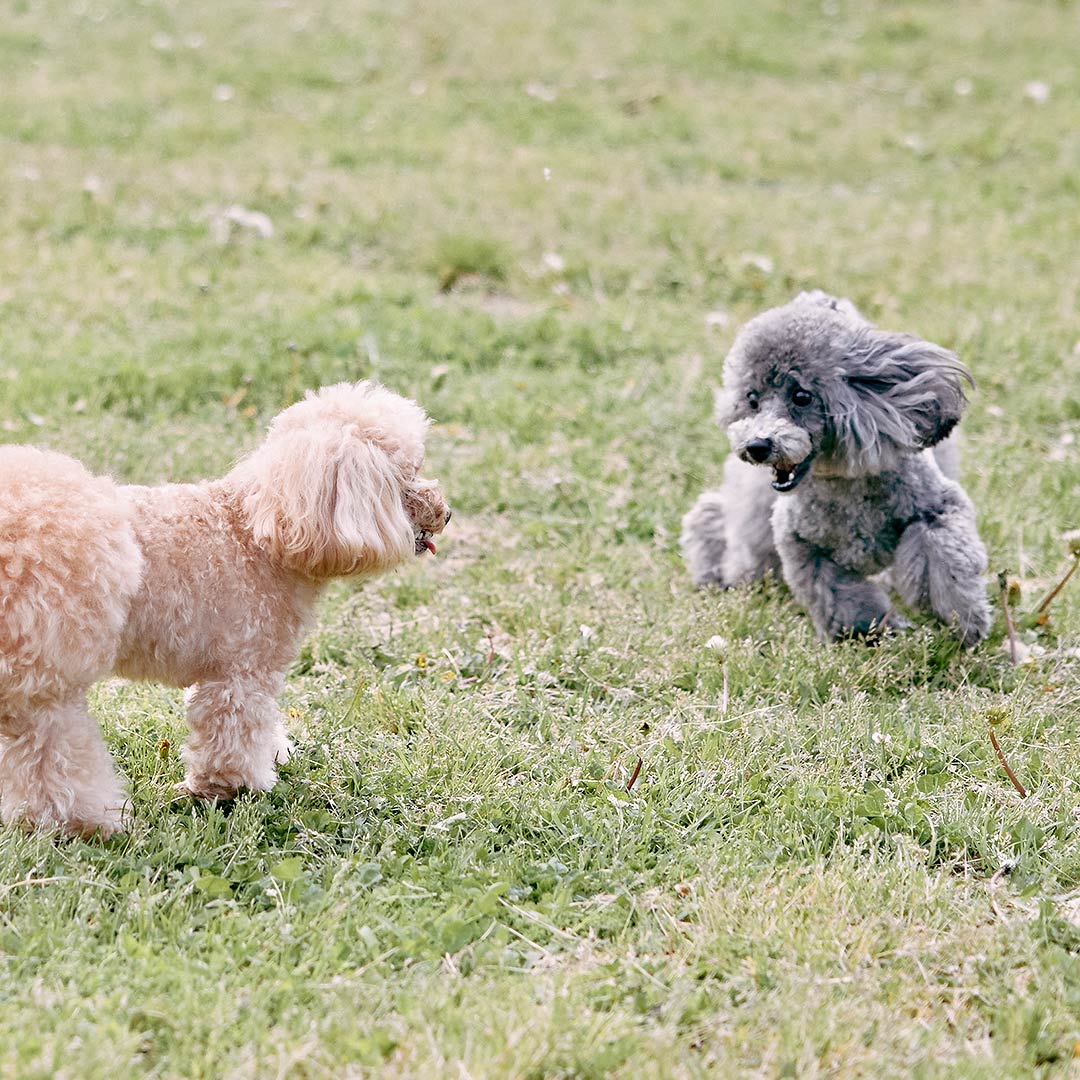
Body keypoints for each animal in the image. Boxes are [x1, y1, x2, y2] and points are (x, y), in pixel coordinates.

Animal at [0, 380, 447, 833]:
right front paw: (233, 787)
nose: (445, 513)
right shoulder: (241, 670)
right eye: (407, 476)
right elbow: (234, 733)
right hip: (49, 669)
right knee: (48, 748)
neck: (261, 532)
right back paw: (79, 821)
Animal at [682, 289, 993, 648]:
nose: (757, 446)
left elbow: (944, 563)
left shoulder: (935, 510)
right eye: (752, 399)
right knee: (719, 525)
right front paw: (870, 632)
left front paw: (966, 624)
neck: (841, 479)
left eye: (801, 396)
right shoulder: (802, 546)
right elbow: (838, 597)